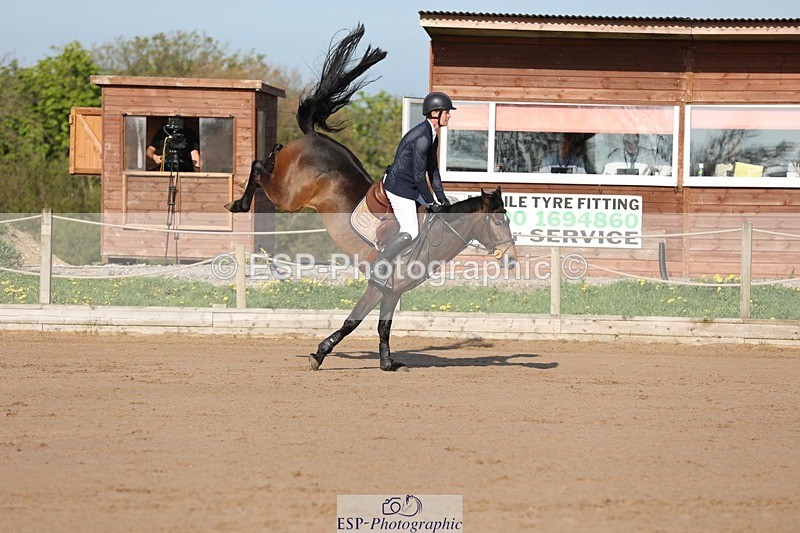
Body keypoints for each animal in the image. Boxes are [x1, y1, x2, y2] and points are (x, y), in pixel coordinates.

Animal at [309, 187, 518, 372]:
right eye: (498, 222)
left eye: (508, 220)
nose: (512, 259)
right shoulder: (377, 288)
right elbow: (352, 322)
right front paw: (319, 354)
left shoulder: (392, 292)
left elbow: (384, 327)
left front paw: (387, 363)